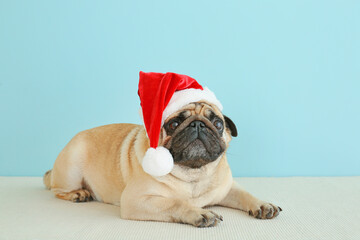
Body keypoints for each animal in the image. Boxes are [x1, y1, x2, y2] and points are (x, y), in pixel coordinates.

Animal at [44, 101, 282, 227]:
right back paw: (78, 193)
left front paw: (263, 204)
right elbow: (175, 203)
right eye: (174, 124)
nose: (198, 125)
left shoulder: (227, 189)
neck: (192, 173)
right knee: (56, 189)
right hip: (72, 166)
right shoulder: (137, 200)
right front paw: (199, 213)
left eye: (217, 123)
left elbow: (245, 194)